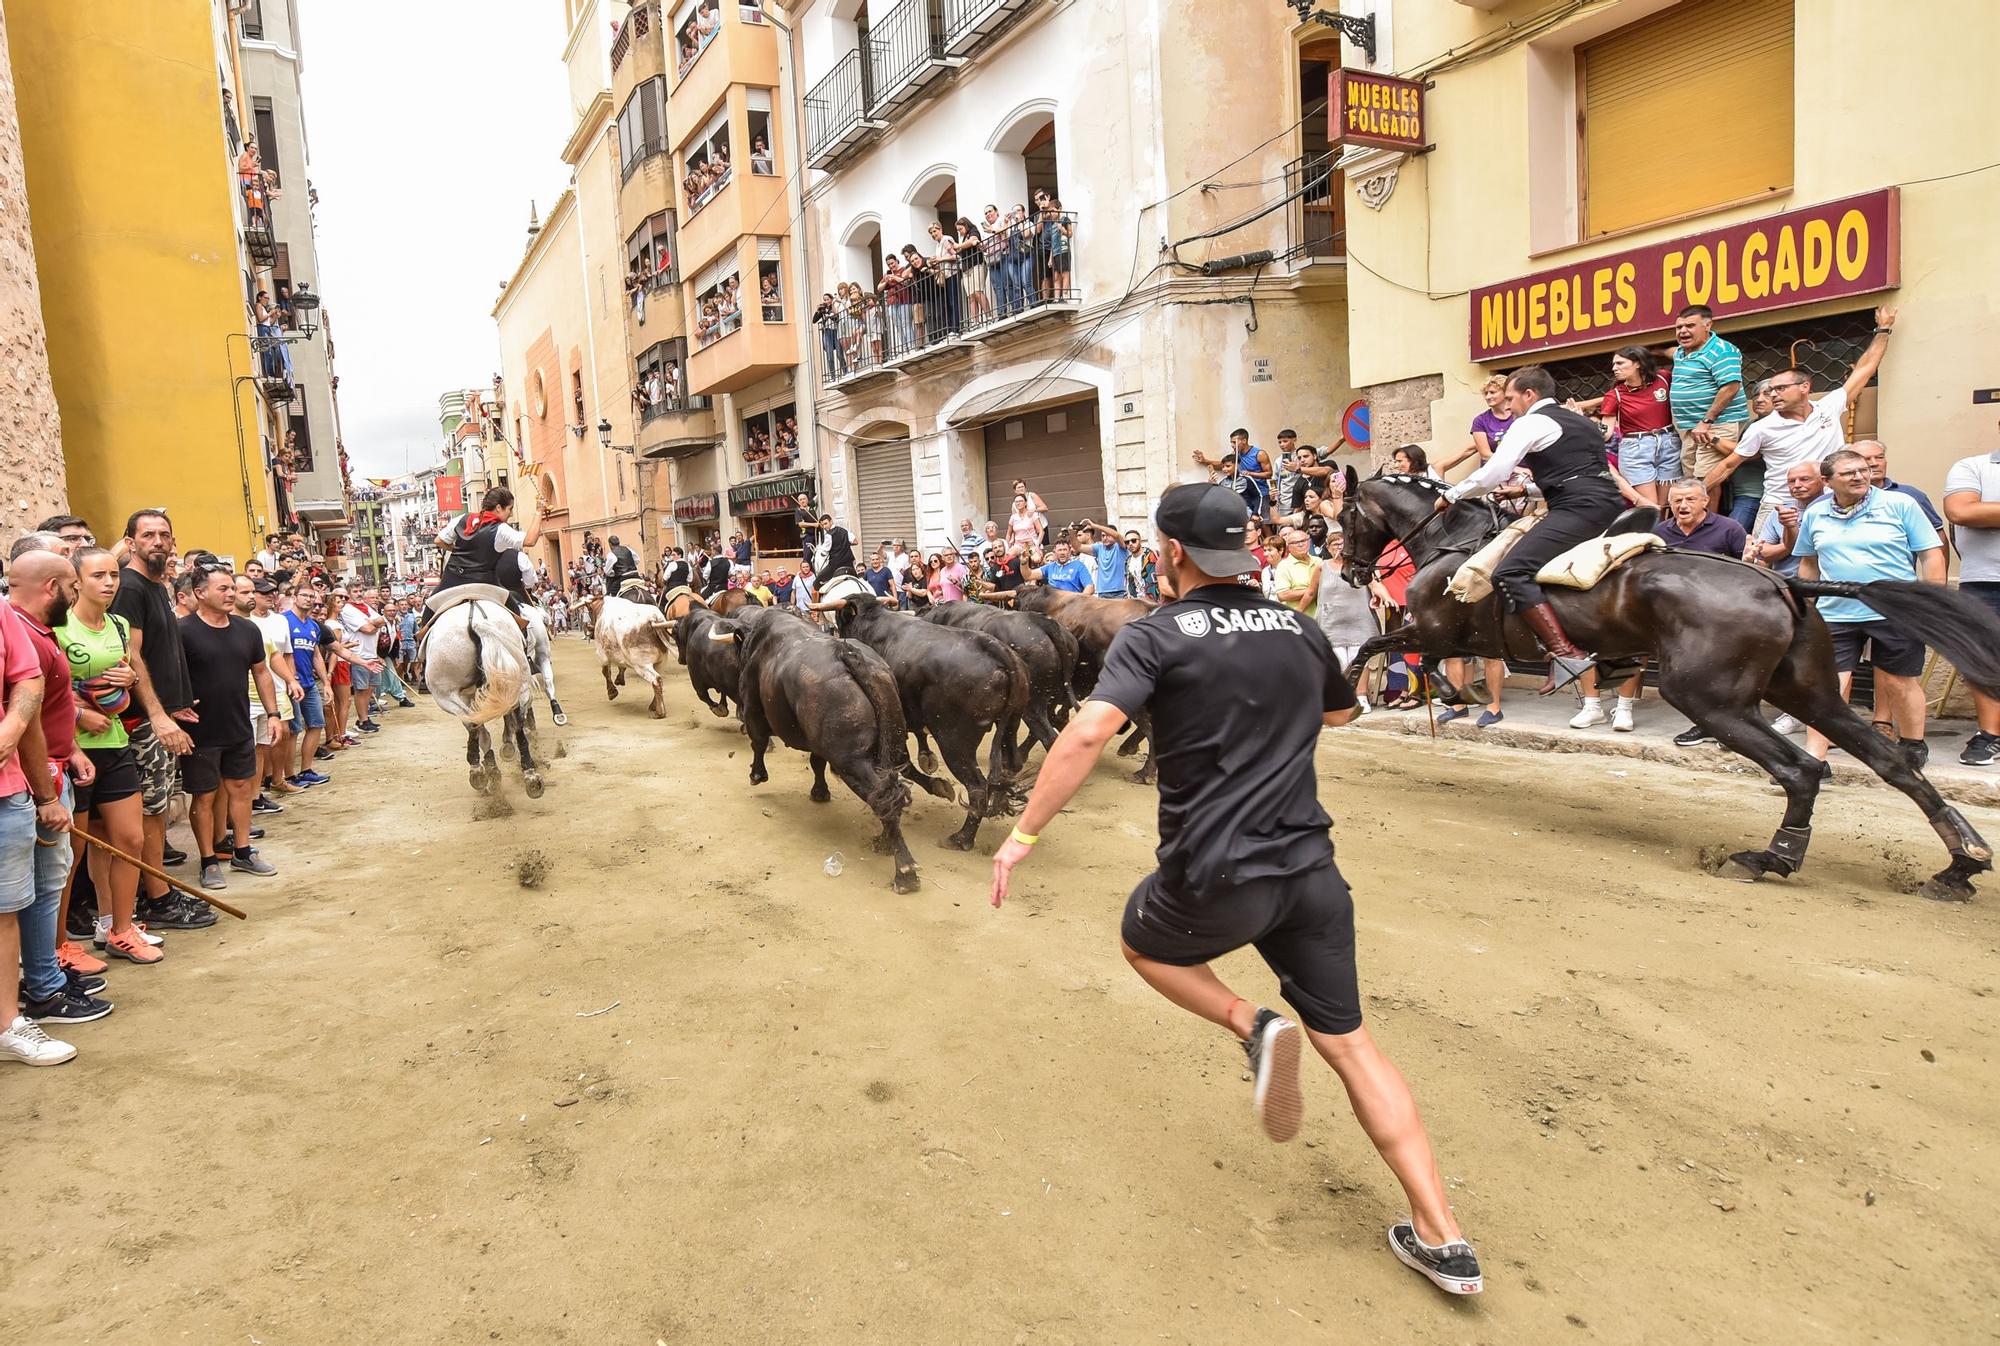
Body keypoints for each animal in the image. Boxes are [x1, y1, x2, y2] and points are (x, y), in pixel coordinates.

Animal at [424, 588, 548, 800]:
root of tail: (476, 621)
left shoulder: (465, 695)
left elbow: (479, 729)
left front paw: (490, 770)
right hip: (518, 678)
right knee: (517, 719)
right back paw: (530, 775)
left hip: (444, 694)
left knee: (472, 722)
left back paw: (477, 771)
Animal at [708, 604, 956, 888]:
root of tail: (850, 656)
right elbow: (816, 762)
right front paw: (820, 791)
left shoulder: (753, 708)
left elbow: (758, 743)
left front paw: (757, 775)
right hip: (890, 740)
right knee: (895, 783)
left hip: (852, 761)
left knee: (885, 797)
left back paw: (904, 869)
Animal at [1336, 472, 2000, 904]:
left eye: (1342, 516)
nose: (1349, 571)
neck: (1454, 539)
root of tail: (1783, 584)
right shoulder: (1446, 636)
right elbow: (1412, 659)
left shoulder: (1436, 630)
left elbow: (1388, 651)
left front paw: (1364, 697)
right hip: (1807, 691)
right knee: (1893, 763)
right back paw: (1959, 864)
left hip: (1709, 698)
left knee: (1803, 770)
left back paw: (1770, 857)